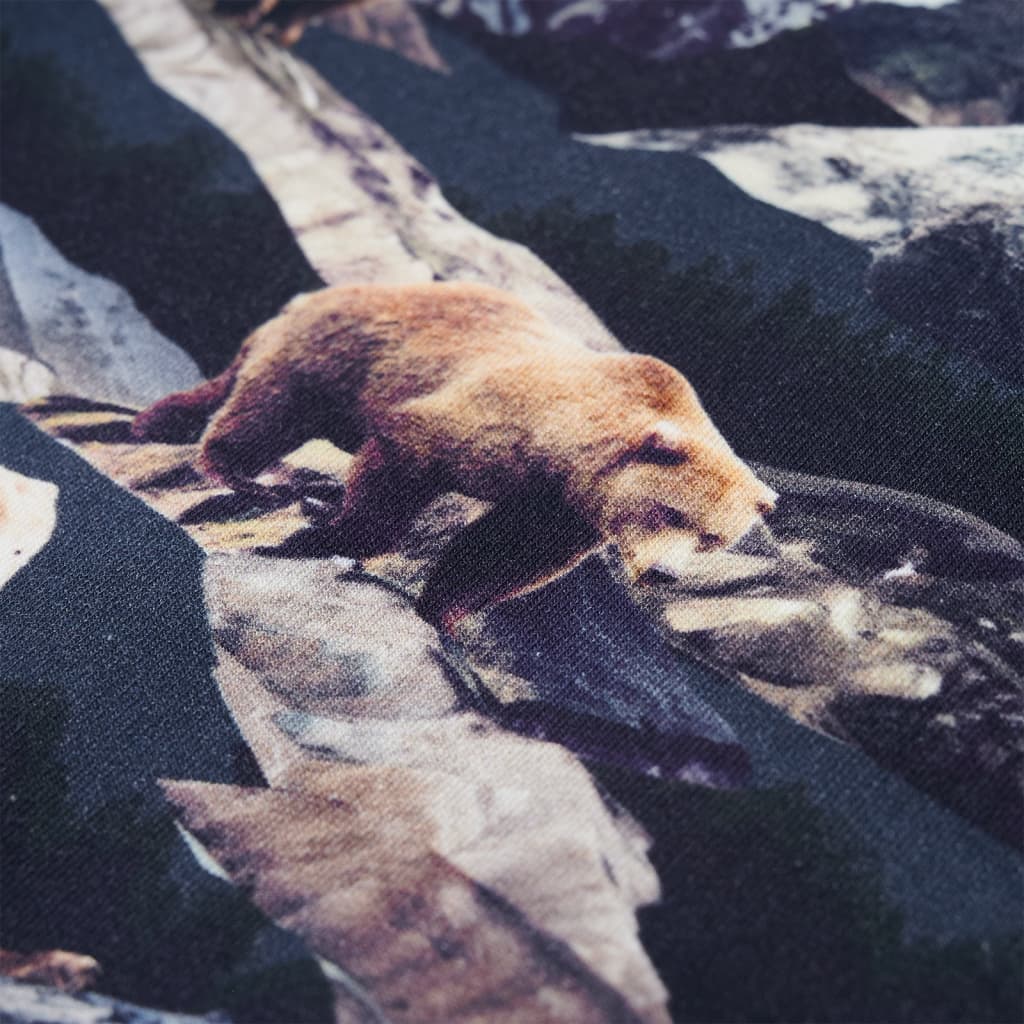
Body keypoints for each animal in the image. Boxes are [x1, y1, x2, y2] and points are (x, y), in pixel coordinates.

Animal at [132, 281, 776, 628]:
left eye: (714, 538)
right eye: (672, 512)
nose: (666, 573)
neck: (571, 456)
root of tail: (312, 294)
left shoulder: (561, 507)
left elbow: (506, 553)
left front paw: (444, 609)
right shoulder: (504, 422)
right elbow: (406, 455)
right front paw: (329, 535)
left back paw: (154, 421)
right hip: (335, 354)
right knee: (269, 408)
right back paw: (239, 471)